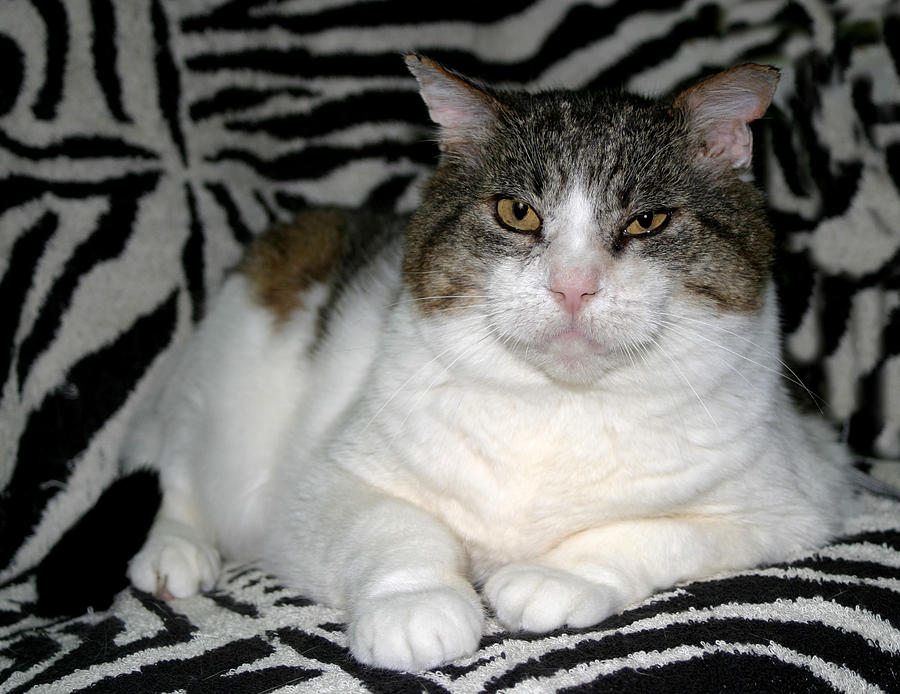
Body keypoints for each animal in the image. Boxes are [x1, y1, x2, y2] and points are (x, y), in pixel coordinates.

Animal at [114, 55, 852, 676]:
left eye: (647, 221)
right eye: (516, 212)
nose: (573, 286)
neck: (557, 409)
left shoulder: (794, 502)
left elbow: (656, 532)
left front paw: (557, 575)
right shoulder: (321, 487)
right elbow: (397, 526)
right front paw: (416, 604)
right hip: (224, 386)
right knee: (179, 470)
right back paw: (175, 550)